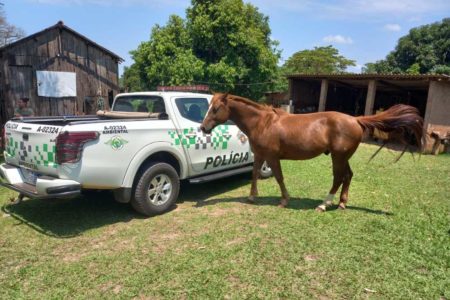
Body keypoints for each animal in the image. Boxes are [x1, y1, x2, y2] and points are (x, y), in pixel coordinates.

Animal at [200, 92, 422, 212]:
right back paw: (342, 203)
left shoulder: (272, 157)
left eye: (216, 108)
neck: (263, 123)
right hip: (343, 157)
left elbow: (279, 177)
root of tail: (356, 119)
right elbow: (254, 174)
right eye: (209, 106)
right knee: (348, 176)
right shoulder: (260, 155)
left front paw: (284, 200)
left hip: (338, 157)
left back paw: (324, 204)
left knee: (338, 177)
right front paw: (252, 197)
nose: (203, 128)